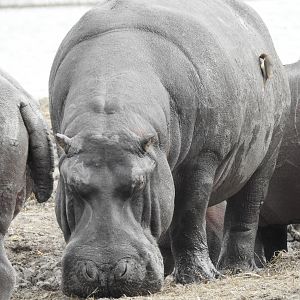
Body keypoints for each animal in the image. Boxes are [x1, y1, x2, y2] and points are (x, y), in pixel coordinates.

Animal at [49, 0, 290, 296]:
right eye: (71, 185)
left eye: (138, 184)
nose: (105, 271)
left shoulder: (202, 158)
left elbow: (189, 214)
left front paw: (199, 277)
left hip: (267, 152)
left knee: (246, 208)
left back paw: (236, 268)